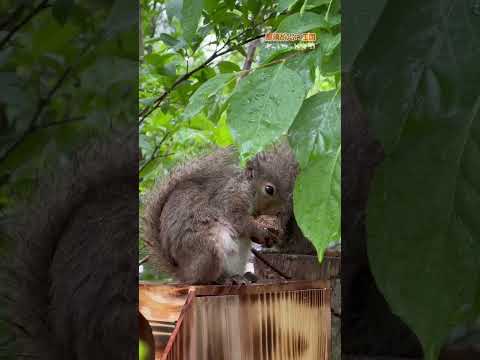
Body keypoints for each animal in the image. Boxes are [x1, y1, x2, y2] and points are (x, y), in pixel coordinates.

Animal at [142, 143, 300, 284]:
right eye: (269, 189)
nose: (282, 211)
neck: (246, 189)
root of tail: (184, 273)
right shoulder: (229, 201)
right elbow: (241, 222)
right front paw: (262, 231)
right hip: (208, 249)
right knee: (204, 279)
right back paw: (224, 280)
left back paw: (244, 277)